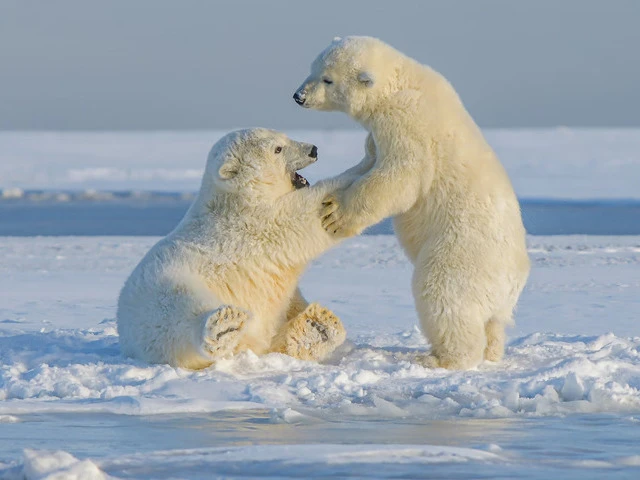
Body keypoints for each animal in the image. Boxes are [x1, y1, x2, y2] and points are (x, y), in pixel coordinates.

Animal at [117, 128, 350, 369]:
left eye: (285, 137)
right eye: (278, 148)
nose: (313, 149)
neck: (235, 199)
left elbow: (288, 300)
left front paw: (315, 326)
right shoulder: (254, 224)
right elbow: (300, 217)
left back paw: (317, 325)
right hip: (162, 291)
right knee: (178, 311)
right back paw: (223, 327)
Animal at [293, 36, 530, 370]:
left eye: (327, 79)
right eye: (312, 69)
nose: (299, 96)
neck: (402, 82)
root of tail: (513, 281)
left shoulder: (406, 123)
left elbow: (400, 176)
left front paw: (335, 214)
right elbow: (371, 159)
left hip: (461, 253)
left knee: (443, 296)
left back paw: (440, 358)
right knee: (493, 323)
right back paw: (492, 352)